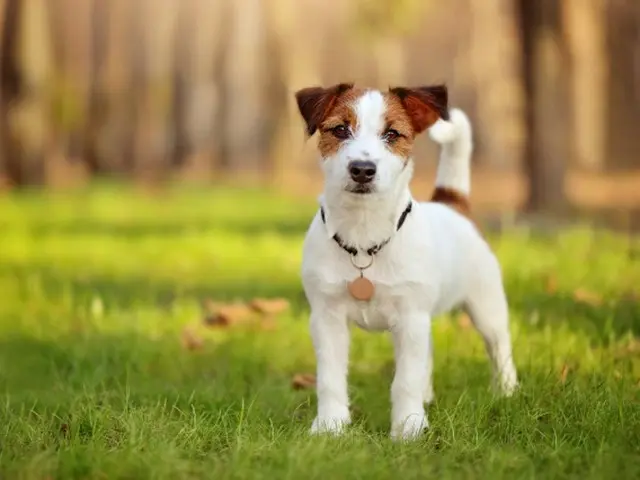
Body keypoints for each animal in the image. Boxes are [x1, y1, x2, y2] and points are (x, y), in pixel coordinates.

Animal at [296, 81, 520, 438]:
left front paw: (408, 428)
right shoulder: (327, 319)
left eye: (392, 134)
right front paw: (331, 426)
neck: (364, 239)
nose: (362, 169)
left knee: (499, 347)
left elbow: (405, 380)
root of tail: (452, 203)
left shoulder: (410, 317)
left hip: (486, 305)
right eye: (340, 129)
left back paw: (507, 392)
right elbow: (330, 378)